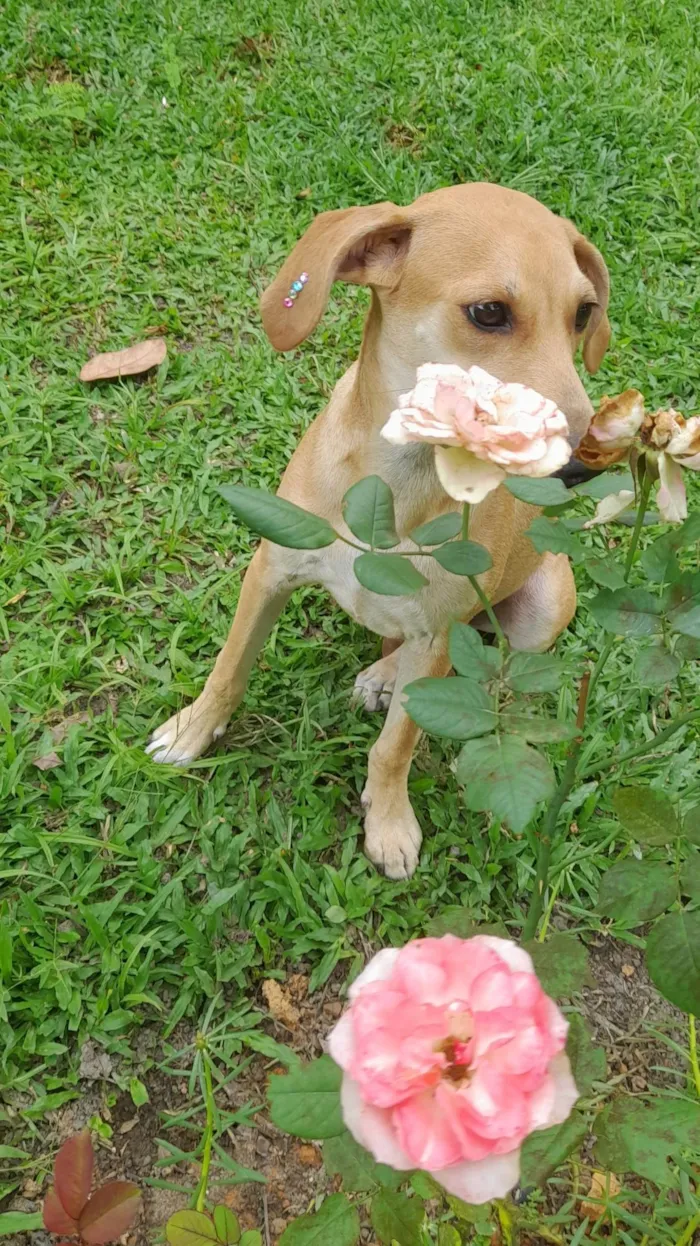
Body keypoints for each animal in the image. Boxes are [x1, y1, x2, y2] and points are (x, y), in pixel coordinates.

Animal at [145, 186, 605, 887]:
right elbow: (229, 668)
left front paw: (387, 822)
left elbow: (397, 745)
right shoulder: (269, 572)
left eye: (582, 314)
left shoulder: (438, 628)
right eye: (488, 312)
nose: (584, 464)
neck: (396, 485)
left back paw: (393, 679)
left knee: (476, 671)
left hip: (541, 606)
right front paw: (193, 730)